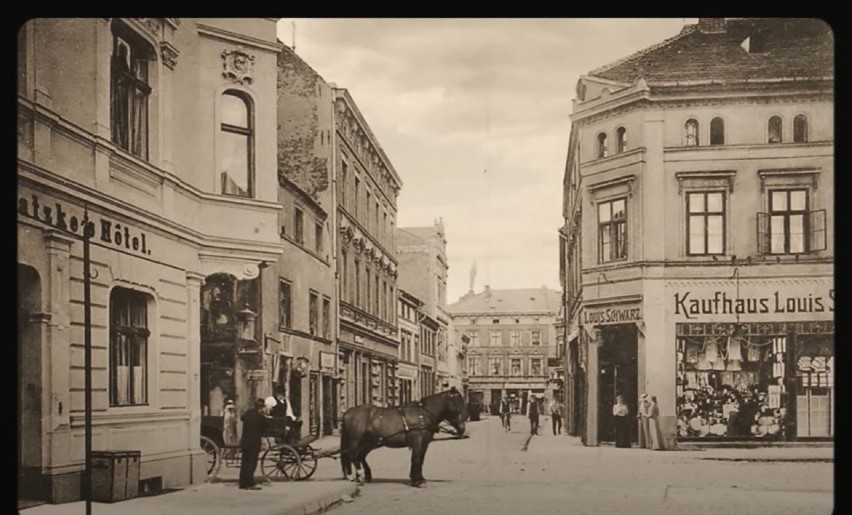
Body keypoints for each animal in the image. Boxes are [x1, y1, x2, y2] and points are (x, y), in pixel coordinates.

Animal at [340, 390, 470, 490]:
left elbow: (420, 460)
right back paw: (358, 476)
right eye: (458, 405)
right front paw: (418, 481)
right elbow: (416, 459)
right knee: (352, 456)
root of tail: (348, 412)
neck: (423, 414)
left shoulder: (424, 442)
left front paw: (418, 479)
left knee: (359, 456)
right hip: (355, 441)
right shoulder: (418, 440)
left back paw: (363, 475)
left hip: (368, 443)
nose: (462, 429)